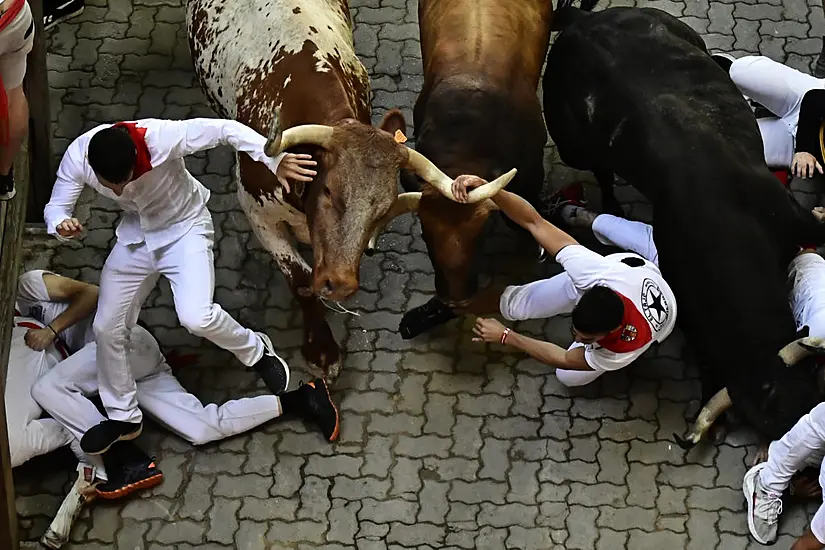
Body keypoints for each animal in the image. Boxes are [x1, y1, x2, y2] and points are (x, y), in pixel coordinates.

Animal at [185, 0, 516, 380]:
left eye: (383, 208)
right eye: (329, 191)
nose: (340, 284)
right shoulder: (258, 213)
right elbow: (300, 281)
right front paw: (322, 349)